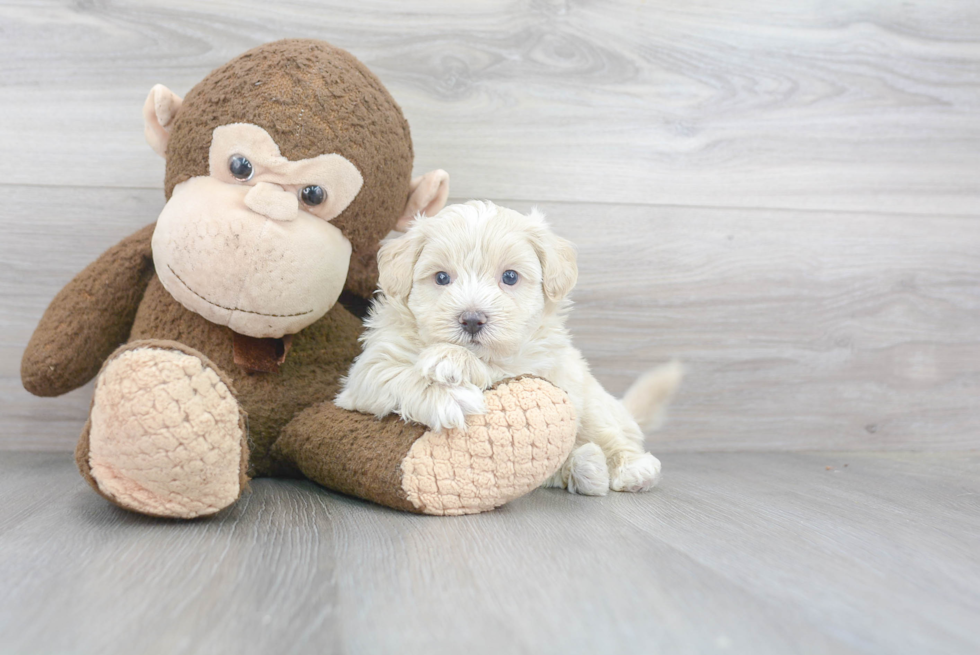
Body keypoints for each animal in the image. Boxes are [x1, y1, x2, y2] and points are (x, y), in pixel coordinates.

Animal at [336, 202, 680, 494]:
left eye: (510, 276)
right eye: (442, 277)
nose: (472, 320)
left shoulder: (539, 365)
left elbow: (496, 367)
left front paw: (453, 362)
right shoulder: (366, 373)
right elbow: (393, 374)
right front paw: (448, 393)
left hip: (591, 400)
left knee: (611, 436)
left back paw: (630, 468)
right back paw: (586, 468)